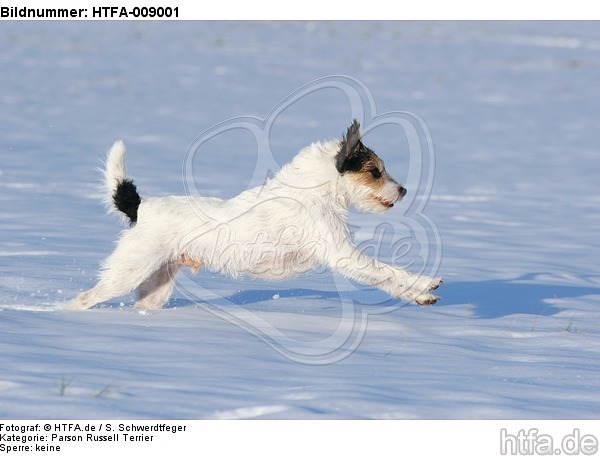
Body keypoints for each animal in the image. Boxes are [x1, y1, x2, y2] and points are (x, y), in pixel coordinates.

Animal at [70, 119, 440, 310]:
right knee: (84, 298)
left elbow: (387, 280)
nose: (404, 190)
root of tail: (141, 207)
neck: (313, 191)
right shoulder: (342, 255)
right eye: (375, 171)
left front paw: (420, 295)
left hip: (155, 286)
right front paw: (423, 282)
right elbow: (386, 271)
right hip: (128, 272)